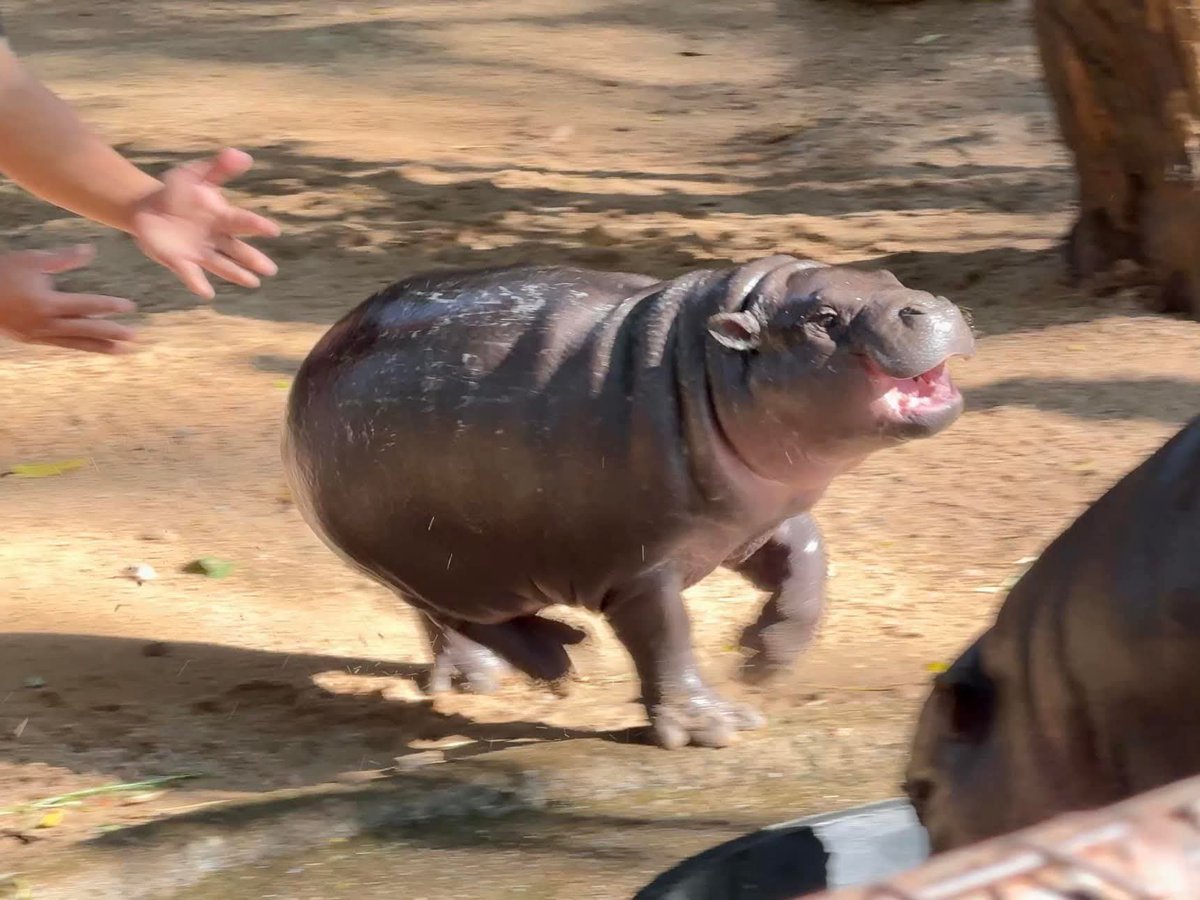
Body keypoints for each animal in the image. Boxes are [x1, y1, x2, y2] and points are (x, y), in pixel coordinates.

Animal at [282, 254, 974, 749]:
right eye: (823, 318)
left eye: (887, 275)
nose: (931, 304)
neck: (703, 368)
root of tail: (316, 355)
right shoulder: (637, 570)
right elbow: (666, 638)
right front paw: (710, 727)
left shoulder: (753, 522)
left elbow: (807, 567)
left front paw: (763, 663)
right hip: (426, 560)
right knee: (465, 614)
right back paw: (560, 661)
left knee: (444, 621)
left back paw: (483, 677)